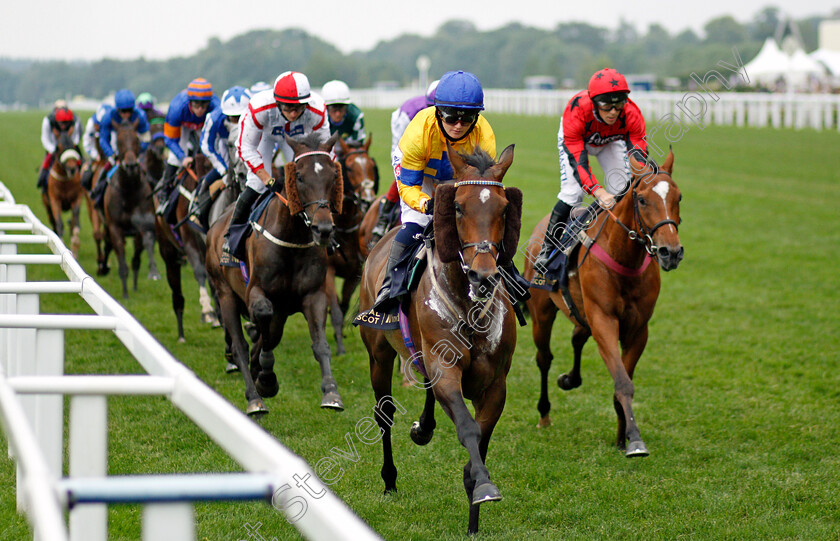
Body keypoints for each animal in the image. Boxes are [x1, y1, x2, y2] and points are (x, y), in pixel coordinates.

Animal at [101, 118, 161, 298]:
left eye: (137, 140)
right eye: (119, 142)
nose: (131, 166)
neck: (128, 190)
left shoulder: (141, 226)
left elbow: (137, 258)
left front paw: (150, 274)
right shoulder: (115, 228)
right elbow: (122, 263)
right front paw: (125, 294)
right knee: (106, 245)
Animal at [205, 133, 346, 416]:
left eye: (333, 176)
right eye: (299, 177)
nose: (324, 229)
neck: (291, 239)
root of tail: (214, 227)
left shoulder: (313, 295)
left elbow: (320, 344)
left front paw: (331, 392)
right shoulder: (256, 293)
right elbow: (263, 321)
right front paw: (266, 376)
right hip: (225, 293)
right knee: (239, 344)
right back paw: (254, 396)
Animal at [358, 141, 520, 532]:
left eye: (504, 208)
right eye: (458, 207)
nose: (483, 276)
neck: (468, 304)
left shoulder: (495, 383)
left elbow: (482, 435)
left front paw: (474, 504)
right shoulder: (445, 368)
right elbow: (468, 428)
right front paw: (483, 485)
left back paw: (424, 427)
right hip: (378, 353)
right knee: (384, 413)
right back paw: (389, 479)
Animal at [524, 150, 684, 458]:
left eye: (678, 197)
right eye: (642, 199)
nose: (671, 252)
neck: (625, 258)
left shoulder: (638, 330)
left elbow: (623, 380)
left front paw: (623, 437)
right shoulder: (604, 320)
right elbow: (623, 382)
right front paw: (635, 441)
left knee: (577, 336)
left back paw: (570, 379)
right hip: (542, 312)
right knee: (544, 358)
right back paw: (544, 414)